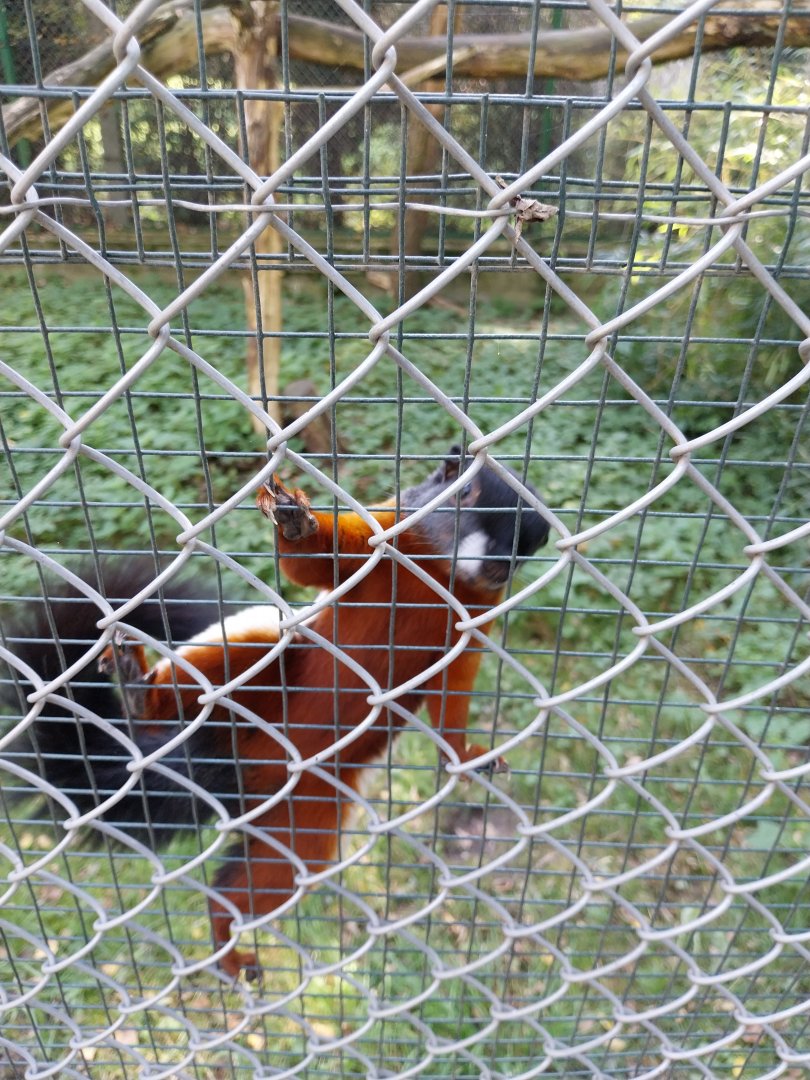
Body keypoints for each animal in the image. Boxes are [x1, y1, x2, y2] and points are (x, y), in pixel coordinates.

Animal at [1, 448, 549, 978]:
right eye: (476, 502)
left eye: (531, 545)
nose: (502, 566)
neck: (439, 571)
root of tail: (239, 762)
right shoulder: (386, 533)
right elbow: (313, 569)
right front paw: (295, 524)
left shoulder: (479, 608)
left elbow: (456, 676)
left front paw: (461, 751)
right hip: (255, 704)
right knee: (264, 645)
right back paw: (145, 700)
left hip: (307, 798)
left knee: (287, 863)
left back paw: (224, 926)